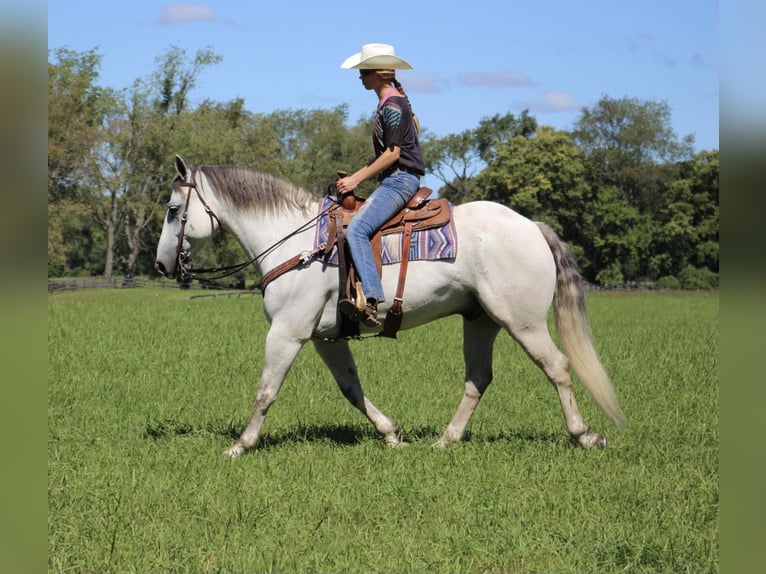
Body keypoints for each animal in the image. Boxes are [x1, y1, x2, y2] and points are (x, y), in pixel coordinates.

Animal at [154, 154, 624, 460]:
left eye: (174, 210)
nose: (160, 264)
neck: (296, 242)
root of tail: (532, 225)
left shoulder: (287, 332)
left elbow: (266, 390)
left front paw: (240, 445)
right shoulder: (325, 337)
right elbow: (350, 387)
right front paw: (392, 433)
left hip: (523, 322)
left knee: (557, 368)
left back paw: (585, 436)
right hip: (481, 320)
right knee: (478, 379)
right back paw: (445, 441)